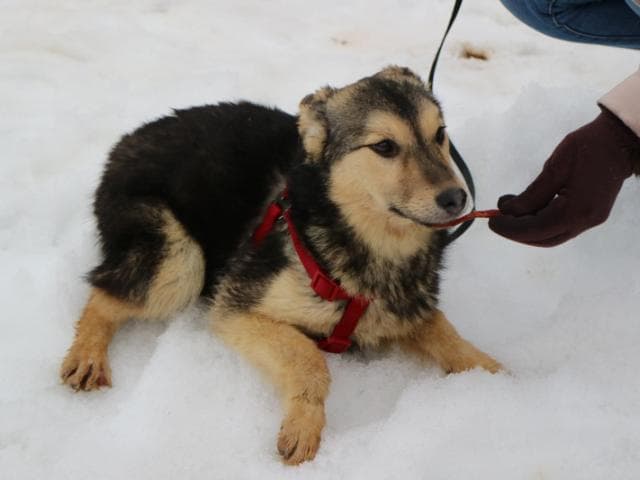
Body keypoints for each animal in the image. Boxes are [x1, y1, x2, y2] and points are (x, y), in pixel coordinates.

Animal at [61, 65, 500, 464]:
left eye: (440, 134)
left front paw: (499, 378)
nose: (456, 198)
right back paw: (88, 356)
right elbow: (309, 359)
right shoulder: (236, 305)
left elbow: (449, 336)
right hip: (178, 263)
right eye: (385, 147)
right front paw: (304, 425)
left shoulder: (408, 307)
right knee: (104, 293)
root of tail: (129, 139)